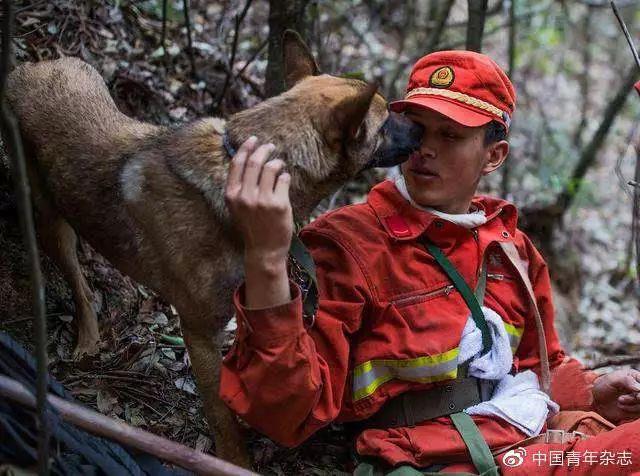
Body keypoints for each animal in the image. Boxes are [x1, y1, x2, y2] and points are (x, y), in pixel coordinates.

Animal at [5, 29, 424, 464]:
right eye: (384, 122)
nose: (422, 129)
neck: (240, 168)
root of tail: (33, 66)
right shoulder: (200, 332)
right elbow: (222, 415)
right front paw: (235, 460)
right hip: (50, 220)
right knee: (79, 283)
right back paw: (87, 337)